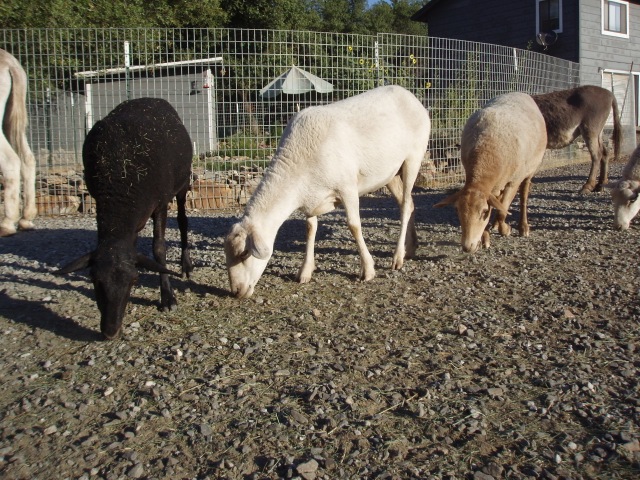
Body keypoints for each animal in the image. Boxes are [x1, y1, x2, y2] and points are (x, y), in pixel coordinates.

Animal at [57, 98, 193, 339]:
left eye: (134, 280)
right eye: (94, 279)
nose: (110, 332)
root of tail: (149, 99)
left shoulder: (160, 203)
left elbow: (159, 248)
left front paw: (167, 298)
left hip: (182, 184)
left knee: (182, 220)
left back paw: (186, 265)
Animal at [224, 85, 431, 298]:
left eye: (243, 253)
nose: (236, 291)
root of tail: (408, 95)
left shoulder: (348, 187)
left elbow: (354, 226)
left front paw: (368, 270)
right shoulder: (310, 199)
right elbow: (310, 230)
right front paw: (305, 272)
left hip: (413, 158)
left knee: (405, 206)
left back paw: (398, 258)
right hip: (391, 173)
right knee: (409, 203)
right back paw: (411, 248)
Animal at [435, 92, 547, 253]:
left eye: (483, 212)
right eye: (458, 211)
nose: (467, 247)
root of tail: (521, 93)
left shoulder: (513, 180)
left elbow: (502, 210)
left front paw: (505, 229)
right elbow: (497, 205)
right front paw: (485, 237)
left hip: (530, 168)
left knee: (524, 195)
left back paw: (523, 227)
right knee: (499, 198)